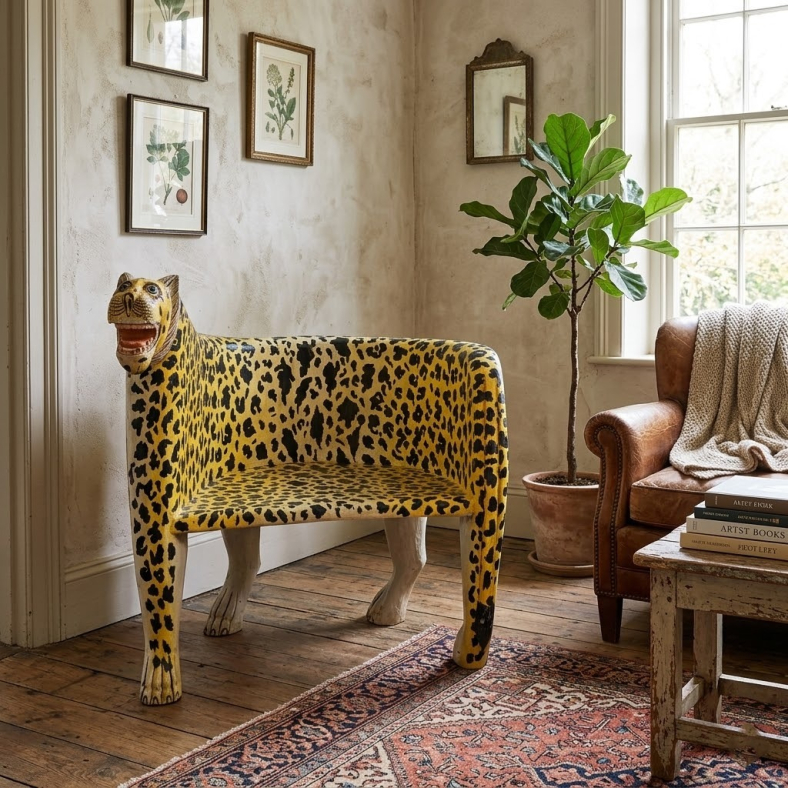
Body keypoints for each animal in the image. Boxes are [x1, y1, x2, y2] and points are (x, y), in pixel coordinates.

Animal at [108, 273, 508, 705]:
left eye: (152, 290)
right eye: (124, 283)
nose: (129, 296)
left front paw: (469, 655)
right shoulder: (157, 517)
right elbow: (159, 606)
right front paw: (162, 681)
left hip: (471, 500)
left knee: (425, 559)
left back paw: (418, 626)